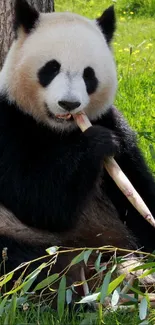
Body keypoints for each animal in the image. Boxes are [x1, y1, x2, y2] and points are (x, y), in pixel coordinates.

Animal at [0, 0, 155, 288]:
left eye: (88, 75)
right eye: (51, 68)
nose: (69, 104)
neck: (60, 130)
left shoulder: (110, 120)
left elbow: (137, 190)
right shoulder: (8, 120)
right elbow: (37, 199)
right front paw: (97, 143)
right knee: (22, 263)